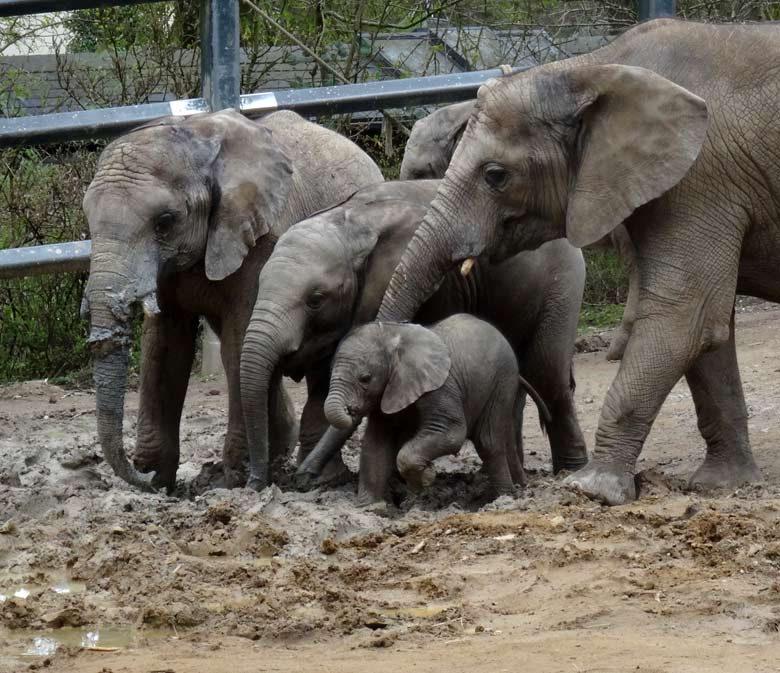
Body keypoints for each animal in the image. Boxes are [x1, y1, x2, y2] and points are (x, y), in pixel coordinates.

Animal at [80, 107, 382, 490]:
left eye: (164, 221)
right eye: (88, 220)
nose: (141, 477)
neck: (197, 136)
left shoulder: (264, 239)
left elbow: (238, 344)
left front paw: (234, 480)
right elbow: (164, 345)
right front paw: (159, 483)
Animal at [316, 316, 548, 504]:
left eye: (365, 378)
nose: (350, 410)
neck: (393, 333)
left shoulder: (440, 386)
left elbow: (452, 433)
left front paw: (426, 477)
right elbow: (376, 443)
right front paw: (371, 508)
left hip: (501, 381)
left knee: (488, 441)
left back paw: (502, 499)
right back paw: (517, 488)